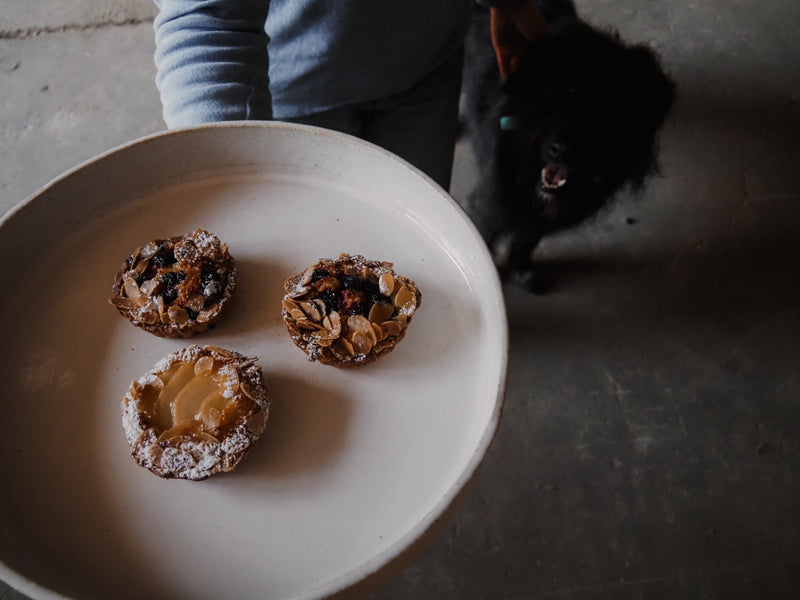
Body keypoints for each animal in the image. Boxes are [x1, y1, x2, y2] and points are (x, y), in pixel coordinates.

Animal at [462, 0, 676, 290]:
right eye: (567, 91)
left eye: (615, 111)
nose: (563, 150)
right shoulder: (490, 204)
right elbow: (482, 238)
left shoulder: (542, 216)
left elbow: (528, 239)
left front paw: (520, 267)